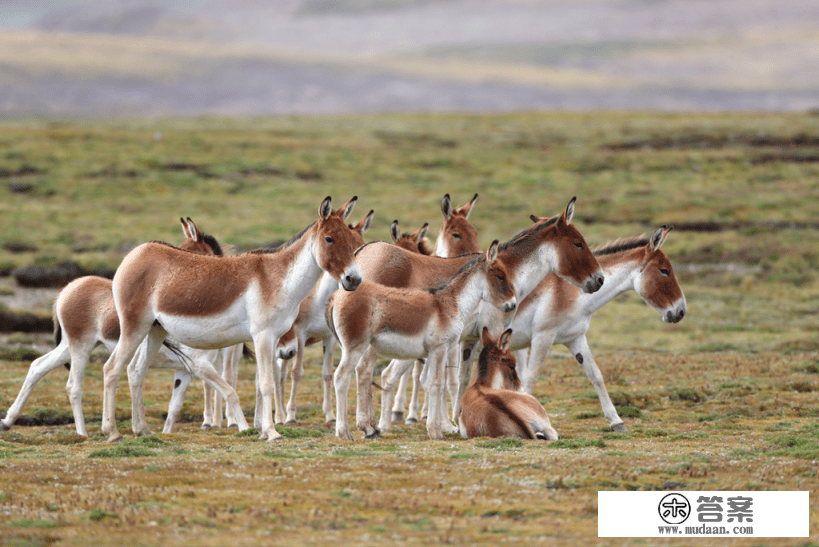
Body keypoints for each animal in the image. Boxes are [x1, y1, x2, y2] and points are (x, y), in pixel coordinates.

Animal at [0, 218, 237, 436]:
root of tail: (67, 289)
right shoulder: (198, 364)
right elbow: (223, 388)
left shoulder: (185, 369)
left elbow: (174, 408)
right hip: (80, 346)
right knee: (74, 385)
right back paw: (83, 433)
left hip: (69, 345)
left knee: (37, 366)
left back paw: (8, 421)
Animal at [100, 197, 362, 440]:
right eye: (329, 239)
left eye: (353, 242)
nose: (354, 280)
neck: (276, 278)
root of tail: (136, 253)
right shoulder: (262, 336)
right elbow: (266, 383)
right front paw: (272, 432)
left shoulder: (272, 339)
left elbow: (259, 383)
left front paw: (262, 430)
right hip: (135, 327)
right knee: (112, 369)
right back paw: (112, 432)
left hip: (155, 330)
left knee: (135, 371)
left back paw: (142, 429)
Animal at [512, 225, 684, 430]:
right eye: (664, 270)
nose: (681, 311)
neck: (572, 292)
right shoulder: (542, 337)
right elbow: (530, 379)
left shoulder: (575, 338)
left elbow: (596, 375)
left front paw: (617, 421)